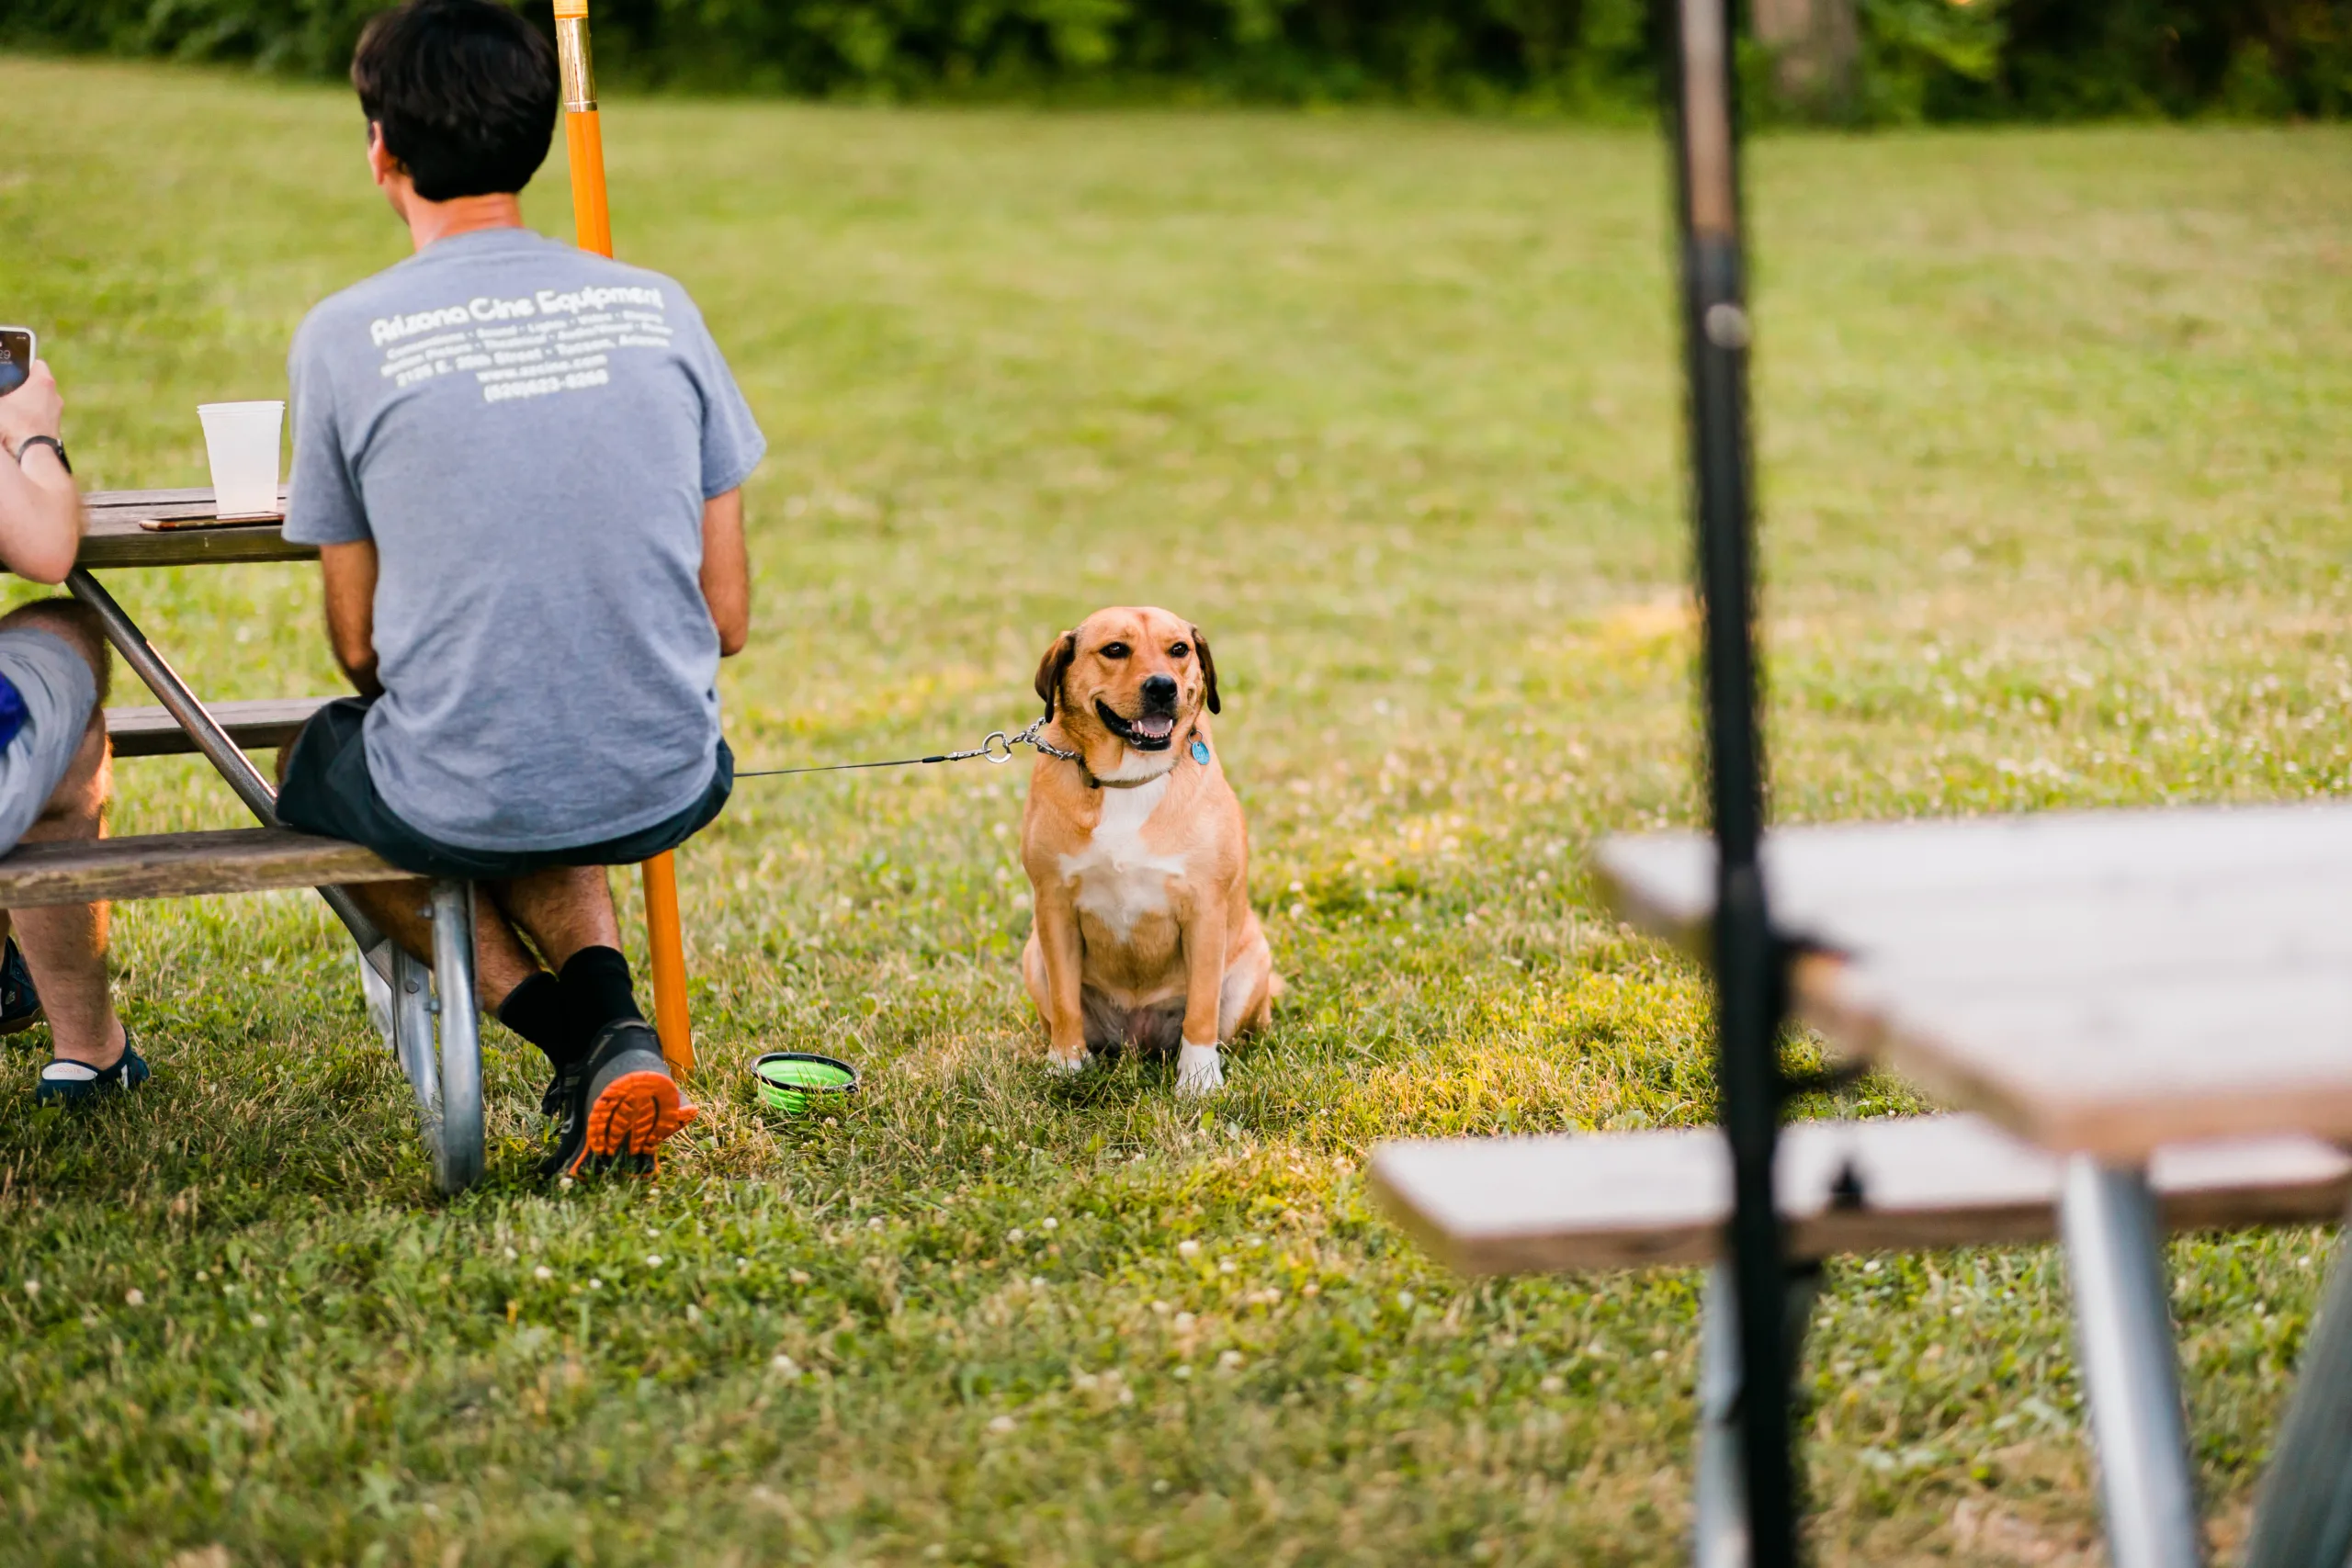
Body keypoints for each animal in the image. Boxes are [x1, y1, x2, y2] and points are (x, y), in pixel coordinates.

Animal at [1021, 606, 1279, 1100]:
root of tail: (1138, 1040)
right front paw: (1066, 1065)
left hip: (1251, 968)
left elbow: (1201, 1007)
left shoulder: (1204, 910)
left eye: (1179, 649)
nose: (1162, 686)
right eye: (1115, 649)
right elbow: (1065, 1002)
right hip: (1034, 956)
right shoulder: (1054, 905)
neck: (1128, 779)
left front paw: (1199, 1079)